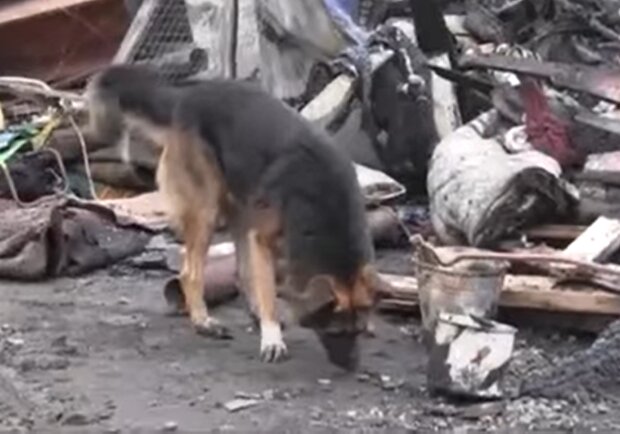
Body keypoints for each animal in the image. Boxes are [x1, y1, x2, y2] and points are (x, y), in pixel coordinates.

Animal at [82, 65, 382, 370]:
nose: (353, 368)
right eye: (336, 332)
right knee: (190, 273)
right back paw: (203, 322)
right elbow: (268, 292)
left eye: (358, 331)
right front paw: (272, 339)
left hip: (241, 206)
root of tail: (186, 95)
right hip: (207, 210)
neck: (323, 202)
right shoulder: (263, 238)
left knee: (241, 271)